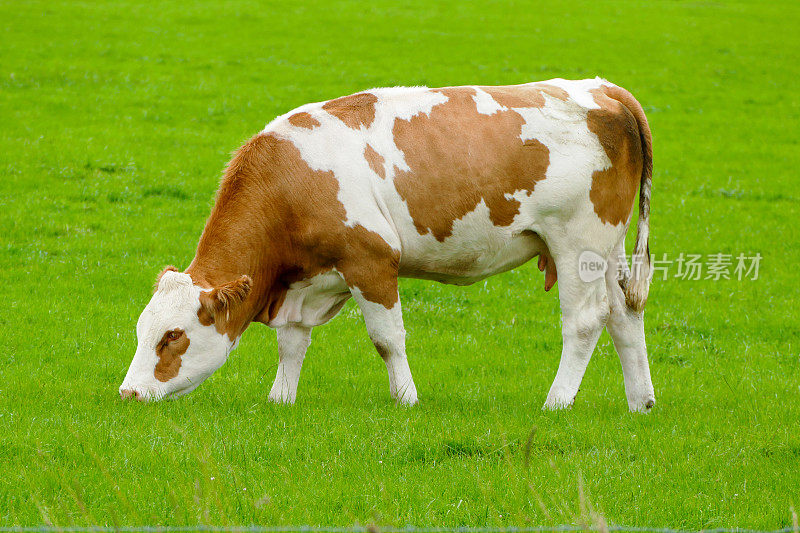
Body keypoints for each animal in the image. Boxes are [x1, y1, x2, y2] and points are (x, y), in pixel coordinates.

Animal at [120, 78, 656, 412]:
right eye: (141, 331)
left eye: (172, 336)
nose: (128, 393)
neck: (290, 178)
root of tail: (604, 89)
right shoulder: (304, 280)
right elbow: (291, 343)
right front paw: (280, 399)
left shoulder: (371, 260)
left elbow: (387, 339)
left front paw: (406, 399)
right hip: (609, 249)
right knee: (624, 315)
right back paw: (640, 403)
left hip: (579, 244)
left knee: (585, 321)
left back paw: (557, 402)